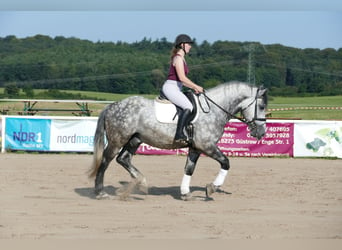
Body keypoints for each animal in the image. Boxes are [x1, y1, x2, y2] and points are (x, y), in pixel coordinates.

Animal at [87, 81, 268, 200]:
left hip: (134, 139)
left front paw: (185, 193)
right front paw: (212, 188)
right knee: (106, 161)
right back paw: (100, 192)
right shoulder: (207, 146)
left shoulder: (195, 148)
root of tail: (111, 106)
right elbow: (226, 162)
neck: (213, 109)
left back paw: (142, 183)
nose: (262, 132)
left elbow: (189, 168)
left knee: (123, 159)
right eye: (261, 107)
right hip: (118, 140)